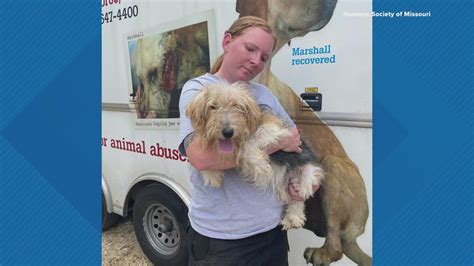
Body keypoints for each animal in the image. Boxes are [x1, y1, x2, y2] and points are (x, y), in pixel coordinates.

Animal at [187, 82, 324, 229]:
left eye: (237, 106)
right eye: (212, 106)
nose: (227, 132)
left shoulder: (273, 129)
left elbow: (248, 145)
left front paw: (260, 165)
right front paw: (213, 175)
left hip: (305, 170)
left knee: (301, 193)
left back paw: (297, 210)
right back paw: (292, 218)